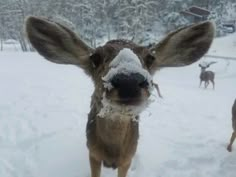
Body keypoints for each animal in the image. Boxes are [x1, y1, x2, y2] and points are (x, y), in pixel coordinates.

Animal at [24, 16, 215, 177]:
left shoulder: (127, 158)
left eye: (150, 58)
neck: (113, 151)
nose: (128, 81)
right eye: (95, 58)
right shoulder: (93, 153)